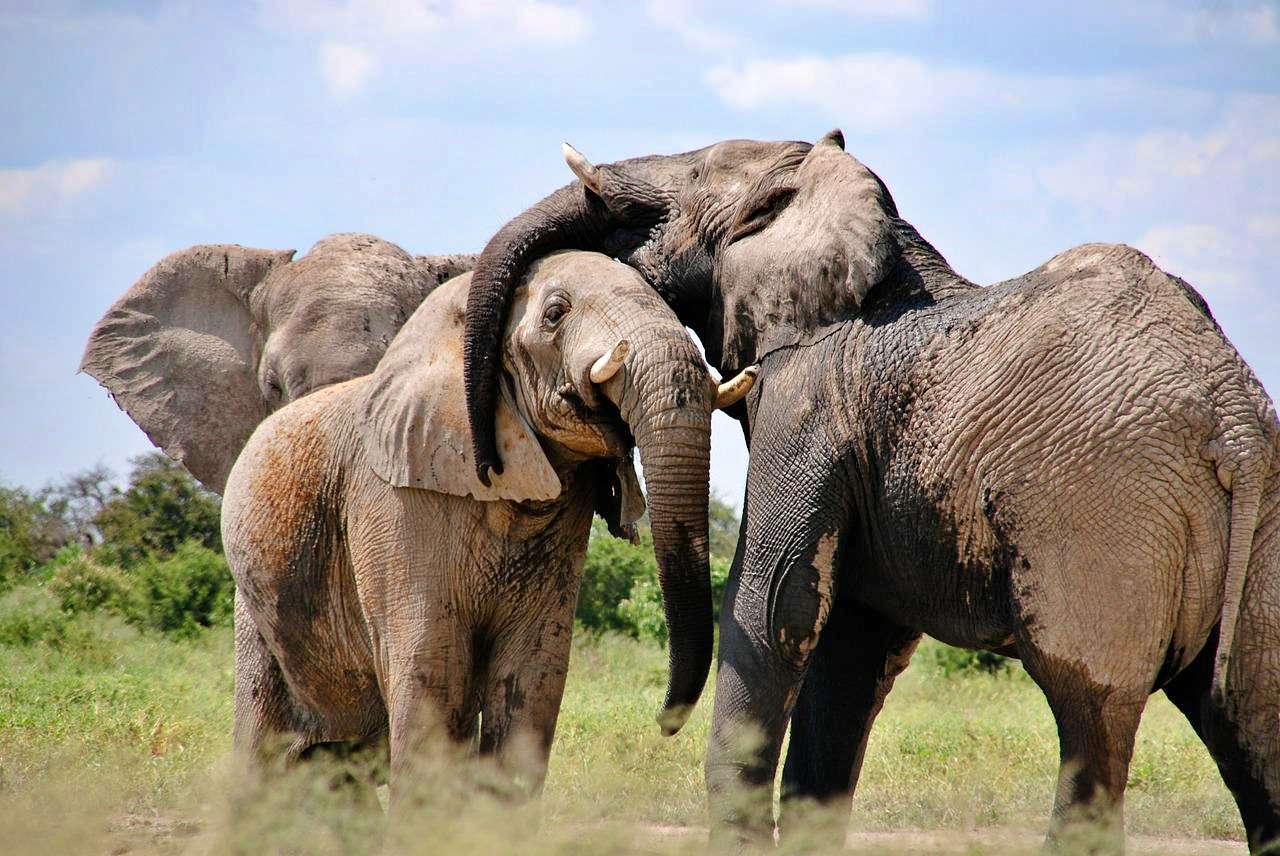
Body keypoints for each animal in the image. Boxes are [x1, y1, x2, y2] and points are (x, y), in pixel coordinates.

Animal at [222, 250, 757, 798]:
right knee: (263, 745)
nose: (661, 722)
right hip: (255, 606)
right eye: (555, 314)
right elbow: (432, 669)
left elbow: (534, 673)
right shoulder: (392, 502)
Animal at [453, 131, 1280, 849]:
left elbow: (774, 605)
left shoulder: (809, 398)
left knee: (1091, 721)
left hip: (1102, 513)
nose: (489, 463)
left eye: (689, 178)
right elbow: (849, 644)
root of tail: (1231, 417)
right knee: (1249, 721)